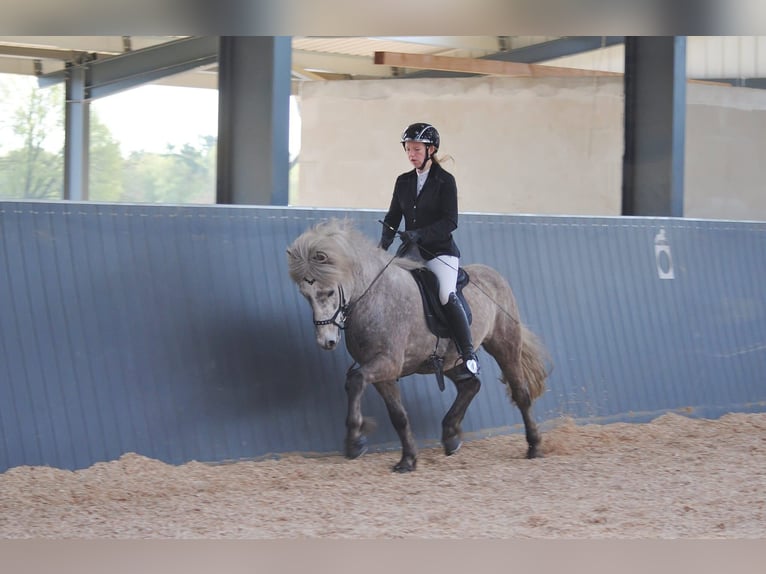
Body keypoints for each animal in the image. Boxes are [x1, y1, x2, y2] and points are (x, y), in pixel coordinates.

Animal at [288, 218, 552, 474]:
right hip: (448, 360)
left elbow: (355, 381)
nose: (326, 341)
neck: (374, 296)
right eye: (305, 295)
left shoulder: (387, 363)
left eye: (329, 292)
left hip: (505, 345)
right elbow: (398, 415)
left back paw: (534, 446)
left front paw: (355, 440)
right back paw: (450, 436)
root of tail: (494, 275)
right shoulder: (382, 371)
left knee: (520, 393)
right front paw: (407, 460)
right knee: (470, 385)